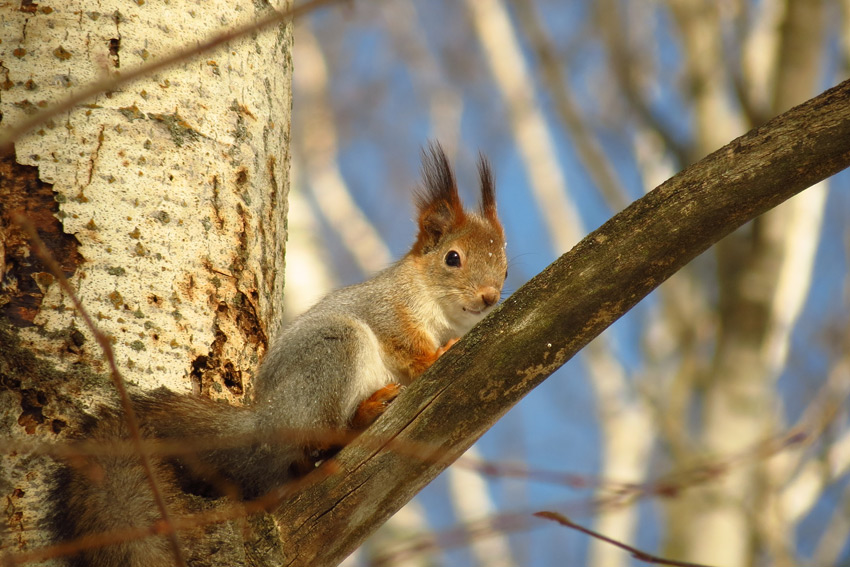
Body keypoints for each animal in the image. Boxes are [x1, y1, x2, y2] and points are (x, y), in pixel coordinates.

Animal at [49, 144, 506, 564]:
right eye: (452, 258)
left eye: (503, 267)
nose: (489, 297)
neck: (438, 309)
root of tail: (266, 420)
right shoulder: (388, 310)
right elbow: (407, 346)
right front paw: (437, 356)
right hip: (334, 352)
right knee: (318, 437)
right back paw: (363, 414)